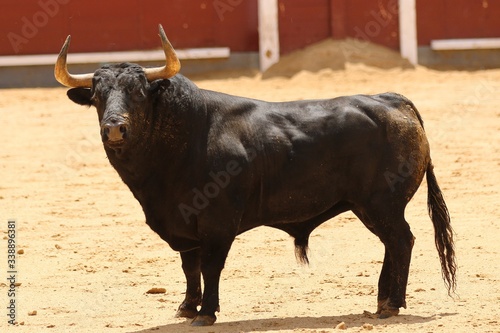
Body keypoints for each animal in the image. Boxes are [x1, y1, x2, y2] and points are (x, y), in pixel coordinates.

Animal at [55, 26, 458, 326]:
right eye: (97, 97)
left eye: (139, 93)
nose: (114, 128)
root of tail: (391, 100)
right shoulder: (183, 223)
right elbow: (189, 266)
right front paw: (187, 307)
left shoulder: (217, 222)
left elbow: (211, 265)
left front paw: (206, 313)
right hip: (371, 207)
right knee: (392, 244)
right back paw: (380, 302)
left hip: (381, 204)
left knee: (401, 241)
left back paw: (391, 304)